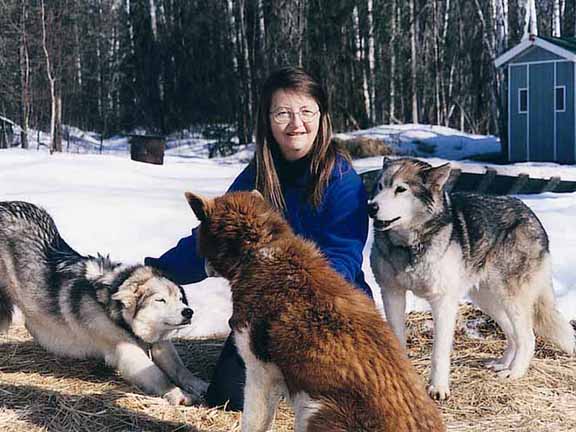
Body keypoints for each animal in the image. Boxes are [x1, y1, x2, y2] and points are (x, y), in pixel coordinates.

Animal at [0, 202, 208, 404]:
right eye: (160, 300)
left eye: (180, 299)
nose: (188, 312)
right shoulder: (125, 349)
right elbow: (157, 375)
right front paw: (178, 394)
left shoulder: (160, 342)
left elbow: (179, 368)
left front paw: (199, 384)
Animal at [368, 159, 576, 402]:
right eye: (380, 186)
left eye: (401, 189)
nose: (371, 207)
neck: (410, 245)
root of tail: (530, 213)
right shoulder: (391, 294)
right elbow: (397, 340)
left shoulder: (443, 303)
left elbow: (439, 353)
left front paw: (438, 388)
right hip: (488, 300)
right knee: (513, 335)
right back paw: (503, 364)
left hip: (510, 299)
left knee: (528, 337)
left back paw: (514, 373)